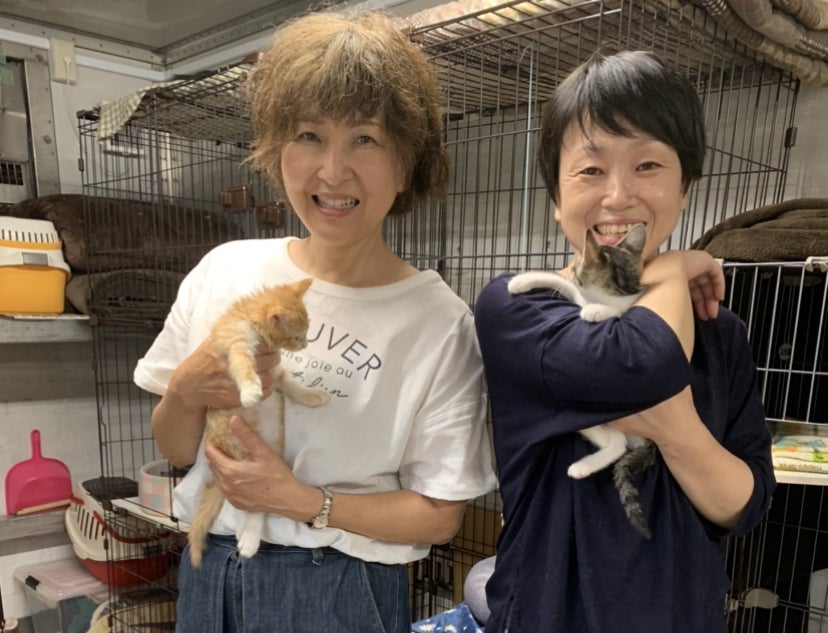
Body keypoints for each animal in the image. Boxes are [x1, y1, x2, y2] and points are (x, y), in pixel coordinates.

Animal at [188, 278, 330, 567]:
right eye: (296, 337)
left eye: (307, 334)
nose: (305, 345)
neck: (250, 317)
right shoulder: (234, 339)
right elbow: (242, 362)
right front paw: (250, 390)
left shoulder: (274, 373)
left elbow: (291, 383)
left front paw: (312, 395)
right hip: (239, 453)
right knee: (253, 505)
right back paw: (250, 541)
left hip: (267, 457)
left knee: (260, 503)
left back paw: (250, 538)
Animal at [507, 223, 656, 539]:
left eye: (577, 267)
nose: (573, 267)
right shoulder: (577, 294)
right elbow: (562, 285)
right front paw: (522, 281)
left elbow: (620, 313)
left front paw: (597, 312)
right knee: (617, 443)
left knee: (618, 444)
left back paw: (582, 467)